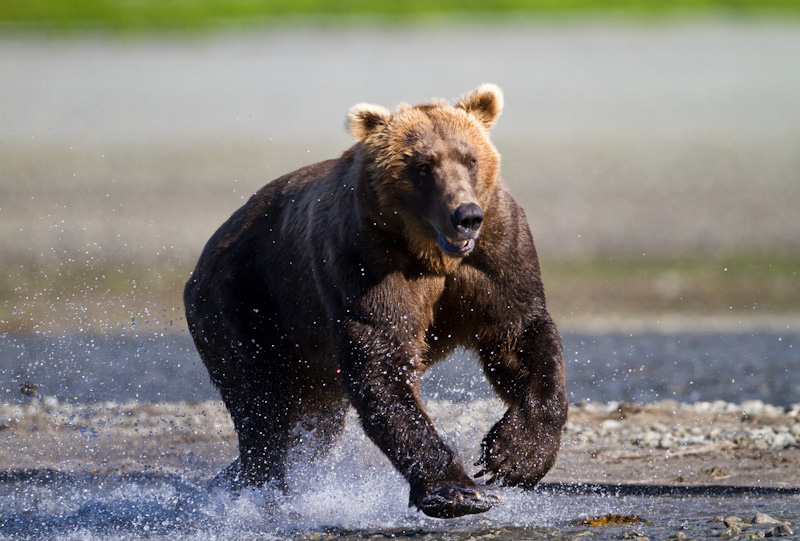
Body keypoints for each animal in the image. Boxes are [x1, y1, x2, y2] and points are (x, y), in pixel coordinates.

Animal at [184, 85, 564, 520]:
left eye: (470, 158)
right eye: (422, 165)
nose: (465, 215)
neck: (430, 253)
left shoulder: (496, 254)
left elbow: (521, 335)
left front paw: (514, 457)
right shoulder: (365, 258)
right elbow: (382, 357)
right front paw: (460, 490)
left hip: (309, 362)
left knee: (311, 429)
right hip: (244, 305)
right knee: (264, 412)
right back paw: (257, 490)